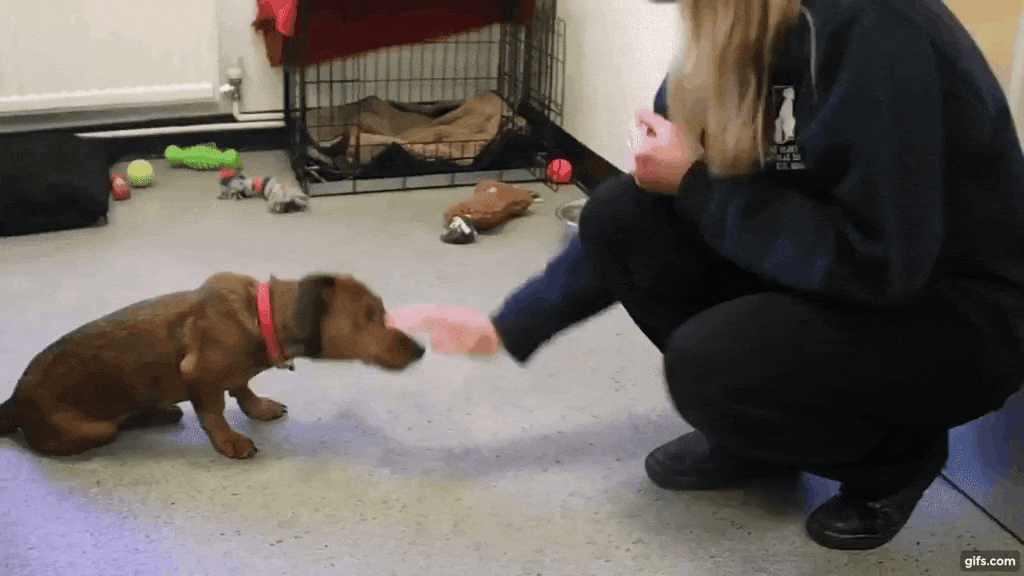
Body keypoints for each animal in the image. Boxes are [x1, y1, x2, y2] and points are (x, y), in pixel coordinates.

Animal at [0, 272, 425, 459]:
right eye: (371, 316)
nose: (421, 349)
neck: (259, 316)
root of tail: (14, 401)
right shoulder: (200, 378)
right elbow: (214, 412)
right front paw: (229, 442)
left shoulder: (232, 375)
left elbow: (242, 387)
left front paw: (257, 407)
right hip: (94, 429)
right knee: (114, 426)